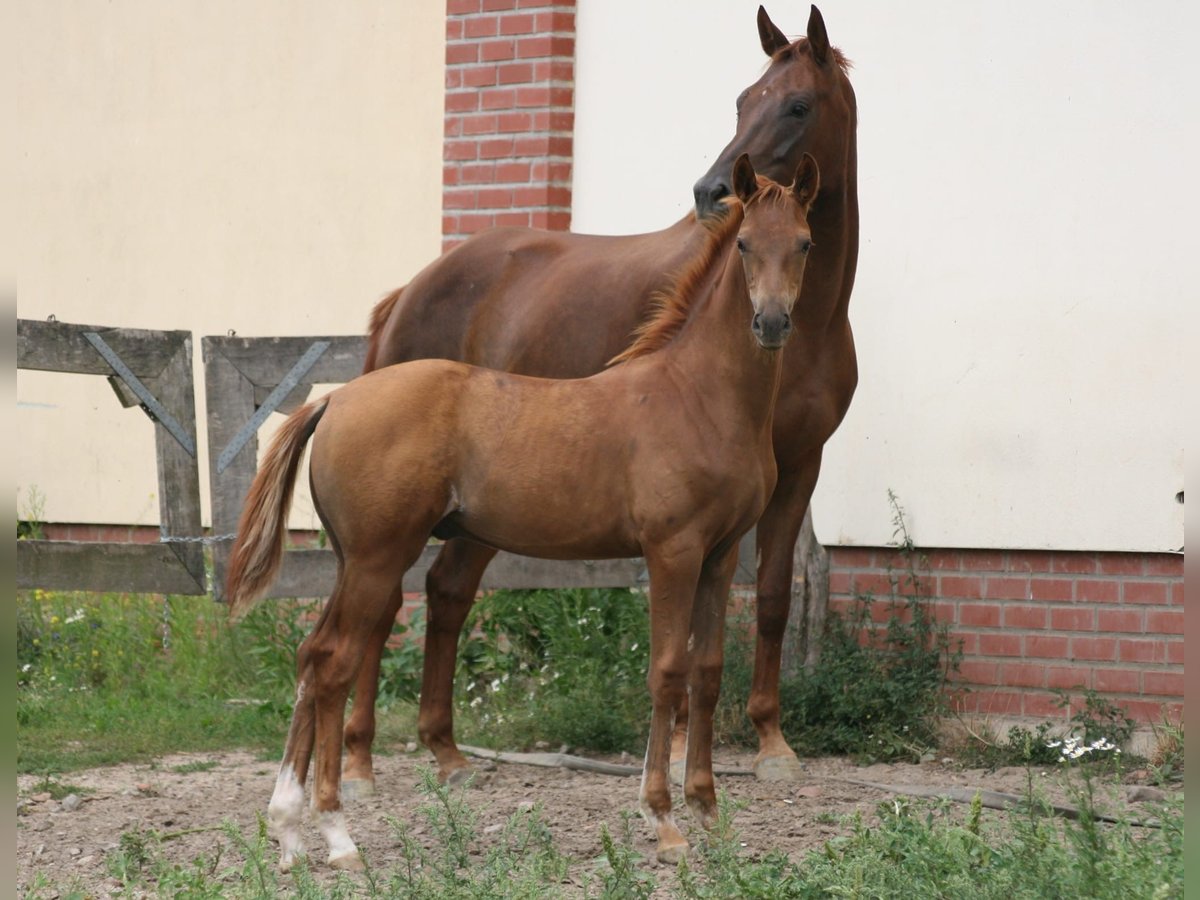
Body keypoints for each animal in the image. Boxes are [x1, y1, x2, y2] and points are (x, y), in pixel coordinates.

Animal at [225, 158, 820, 868]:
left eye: (805, 243)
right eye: (745, 245)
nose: (773, 324)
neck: (696, 395)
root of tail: (335, 400)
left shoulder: (721, 554)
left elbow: (706, 672)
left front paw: (707, 809)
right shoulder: (672, 552)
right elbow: (667, 673)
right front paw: (663, 820)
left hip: (351, 562)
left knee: (313, 658)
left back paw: (289, 832)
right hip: (376, 559)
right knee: (336, 662)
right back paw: (339, 836)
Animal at [350, 1, 859, 787]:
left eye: (798, 104)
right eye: (743, 100)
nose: (712, 191)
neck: (807, 324)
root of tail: (406, 293)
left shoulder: (800, 464)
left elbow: (773, 595)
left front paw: (772, 742)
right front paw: (678, 749)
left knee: (446, 590)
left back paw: (443, 746)